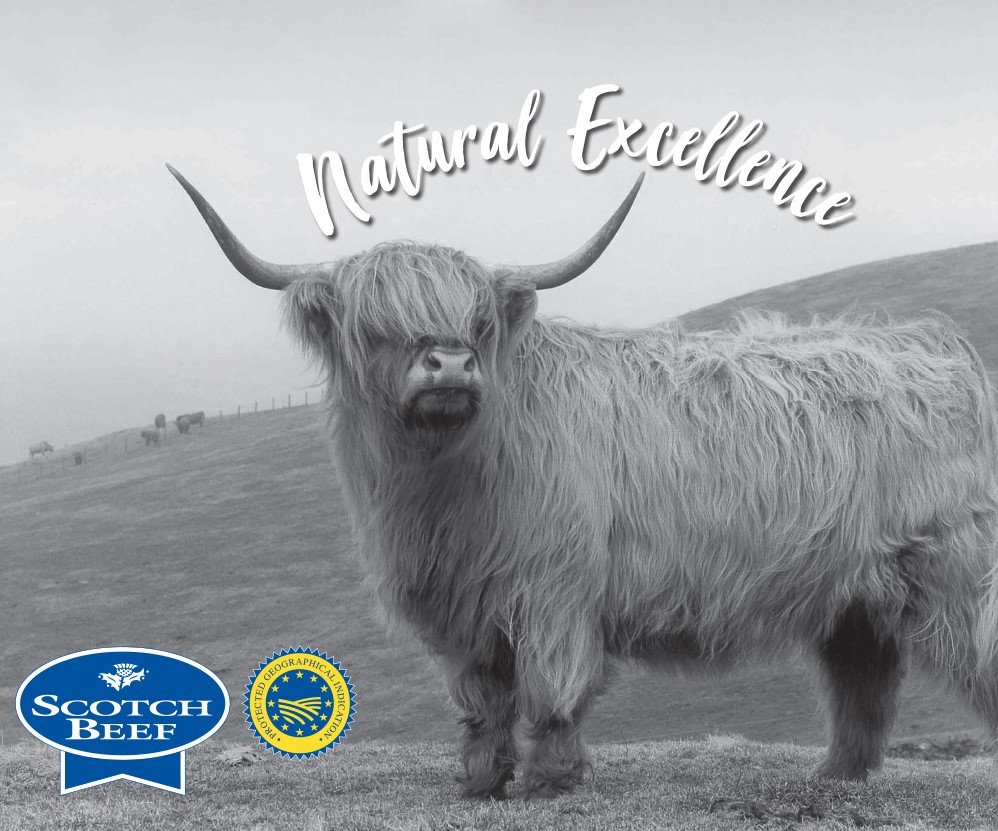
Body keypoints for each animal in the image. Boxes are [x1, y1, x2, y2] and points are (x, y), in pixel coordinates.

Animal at [170, 164, 998, 799]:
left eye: (478, 322)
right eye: (375, 324)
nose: (449, 363)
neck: (444, 486)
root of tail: (932, 344)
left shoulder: (555, 589)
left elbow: (551, 688)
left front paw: (550, 778)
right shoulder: (457, 606)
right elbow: (481, 700)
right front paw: (481, 779)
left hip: (956, 569)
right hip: (855, 591)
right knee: (862, 678)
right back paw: (835, 775)